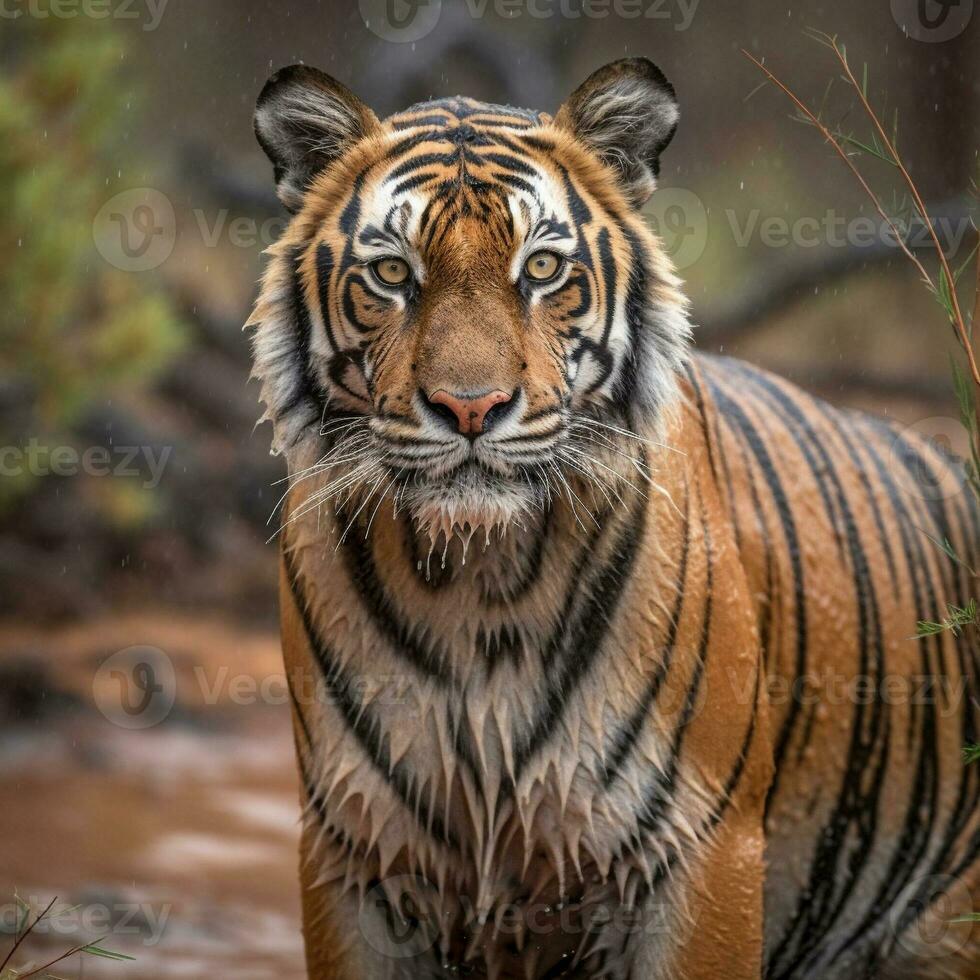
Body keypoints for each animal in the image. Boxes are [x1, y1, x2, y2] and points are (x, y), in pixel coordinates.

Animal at [247, 57, 980, 976]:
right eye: (392, 275)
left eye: (541, 268)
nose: (470, 407)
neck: (478, 588)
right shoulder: (354, 855)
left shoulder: (700, 851)